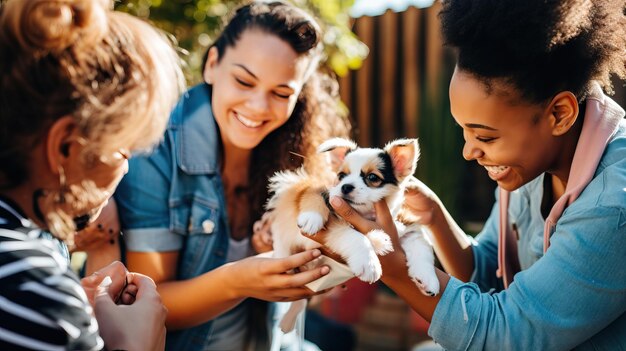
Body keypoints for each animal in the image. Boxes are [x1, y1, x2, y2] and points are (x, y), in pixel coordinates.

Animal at [266, 139, 436, 332]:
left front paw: (428, 278)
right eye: (341, 175)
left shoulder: (406, 224)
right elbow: (317, 195)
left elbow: (421, 247)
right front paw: (369, 263)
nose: (346, 186)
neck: (363, 215)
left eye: (372, 178)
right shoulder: (322, 195)